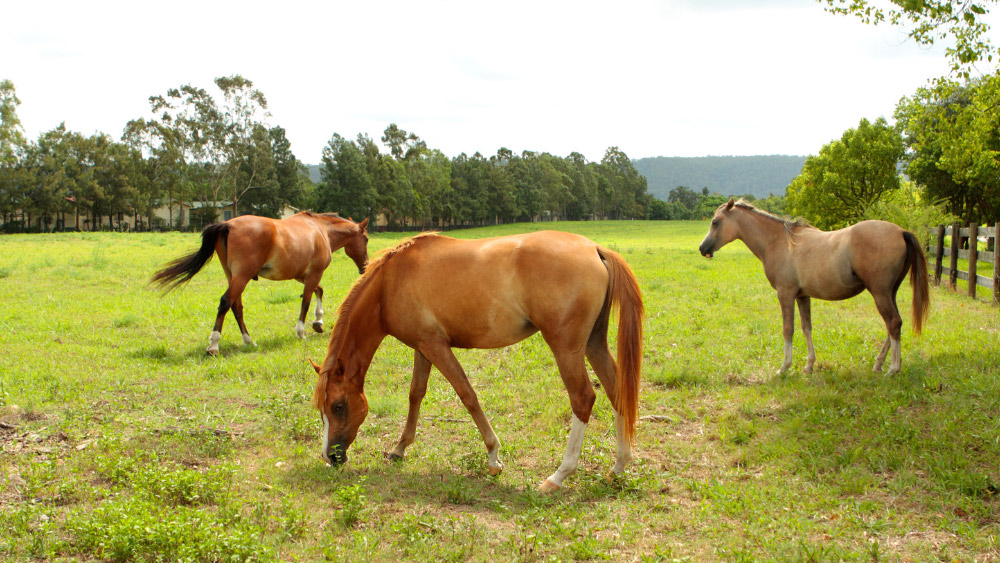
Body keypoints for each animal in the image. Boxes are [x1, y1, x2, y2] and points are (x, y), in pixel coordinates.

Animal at [154, 214, 374, 354]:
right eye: (366, 239)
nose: (365, 265)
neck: (321, 230)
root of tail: (228, 225)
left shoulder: (302, 275)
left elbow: (319, 291)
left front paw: (318, 322)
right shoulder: (313, 274)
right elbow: (307, 301)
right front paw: (301, 332)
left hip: (233, 277)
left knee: (236, 306)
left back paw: (248, 340)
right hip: (241, 277)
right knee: (226, 302)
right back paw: (214, 345)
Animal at [308, 231, 644, 492]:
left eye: (338, 406)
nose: (331, 457)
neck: (390, 283)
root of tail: (595, 248)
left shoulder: (436, 346)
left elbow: (467, 394)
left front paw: (494, 457)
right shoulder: (422, 347)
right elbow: (416, 394)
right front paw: (400, 448)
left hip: (566, 348)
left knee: (583, 398)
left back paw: (559, 475)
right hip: (593, 343)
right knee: (617, 391)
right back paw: (618, 467)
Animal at [700, 200, 924, 376]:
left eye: (715, 222)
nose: (703, 248)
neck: (779, 242)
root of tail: (901, 231)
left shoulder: (786, 294)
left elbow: (788, 330)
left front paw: (784, 368)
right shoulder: (802, 297)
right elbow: (806, 328)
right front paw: (809, 365)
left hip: (880, 292)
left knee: (893, 323)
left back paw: (893, 368)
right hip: (889, 292)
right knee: (894, 324)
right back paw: (879, 364)